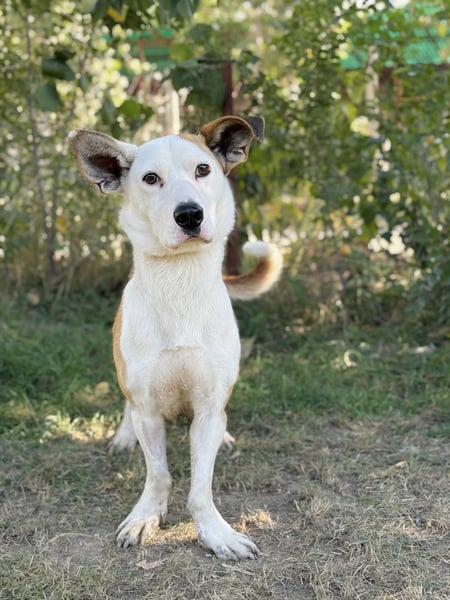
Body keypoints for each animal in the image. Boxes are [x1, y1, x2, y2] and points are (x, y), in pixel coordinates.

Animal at [69, 116, 282, 560]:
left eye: (203, 169)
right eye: (151, 178)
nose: (189, 215)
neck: (180, 286)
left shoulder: (208, 408)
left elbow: (201, 485)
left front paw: (215, 533)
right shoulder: (148, 410)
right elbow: (158, 475)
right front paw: (145, 517)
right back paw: (123, 436)